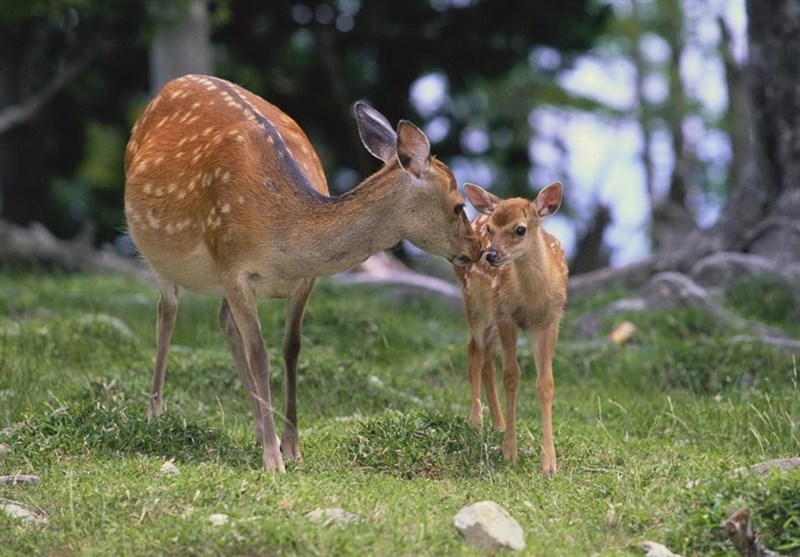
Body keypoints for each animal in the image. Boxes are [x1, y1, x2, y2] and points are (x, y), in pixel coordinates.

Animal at [122, 75, 478, 474]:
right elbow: (260, 355)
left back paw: (259, 428)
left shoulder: (304, 280)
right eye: (458, 205)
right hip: (159, 255)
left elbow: (291, 349)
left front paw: (290, 446)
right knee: (166, 317)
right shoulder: (232, 264)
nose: (478, 249)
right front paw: (273, 460)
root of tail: (171, 85)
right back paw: (155, 413)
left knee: (224, 321)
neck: (283, 236)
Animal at [456, 181, 568, 474]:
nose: (491, 255)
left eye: (520, 229)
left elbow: (545, 383)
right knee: (474, 352)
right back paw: (476, 422)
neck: (531, 299)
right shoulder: (506, 315)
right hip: (476, 303)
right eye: (491, 229)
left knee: (487, 359)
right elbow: (511, 376)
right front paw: (509, 451)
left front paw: (549, 463)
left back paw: (498, 424)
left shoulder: (550, 320)